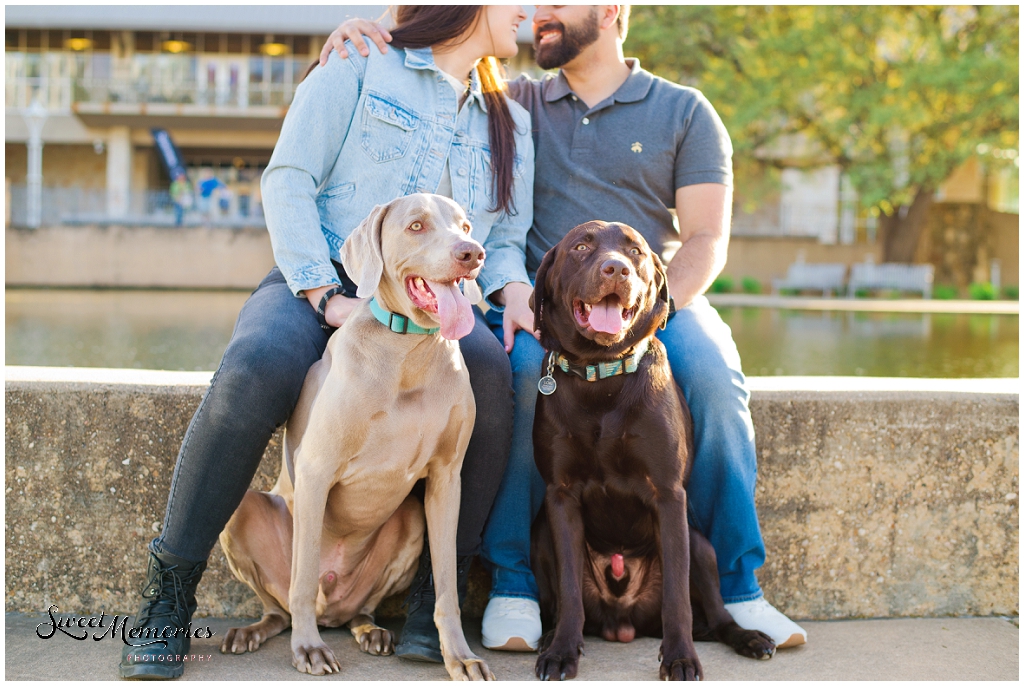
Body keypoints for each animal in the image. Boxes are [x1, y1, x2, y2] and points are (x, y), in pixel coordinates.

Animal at [532, 222, 770, 683]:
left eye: (635, 252)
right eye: (581, 247)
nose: (616, 270)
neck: (601, 377)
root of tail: (623, 622)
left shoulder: (668, 496)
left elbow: (676, 596)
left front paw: (680, 658)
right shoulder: (560, 496)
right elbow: (569, 590)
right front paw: (562, 651)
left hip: (702, 547)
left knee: (717, 616)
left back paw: (748, 638)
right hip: (539, 534)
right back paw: (548, 636)